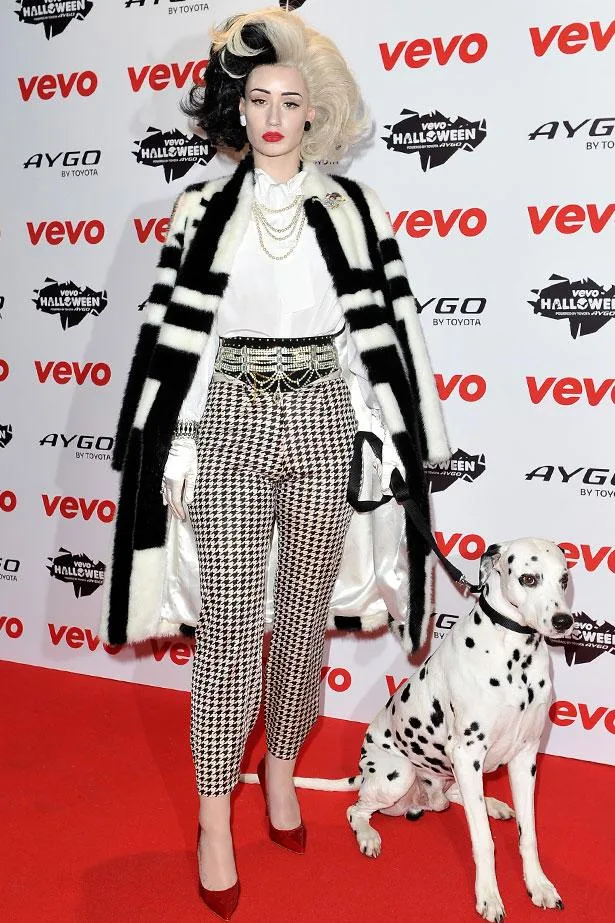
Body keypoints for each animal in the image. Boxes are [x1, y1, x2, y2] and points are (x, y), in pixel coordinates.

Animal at [348, 536, 576, 923]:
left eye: (564, 579)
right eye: (529, 578)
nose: (564, 621)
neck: (515, 653)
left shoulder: (525, 756)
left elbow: (528, 833)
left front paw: (538, 884)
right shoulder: (468, 754)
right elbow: (483, 840)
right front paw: (489, 895)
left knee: (456, 796)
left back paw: (493, 805)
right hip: (398, 774)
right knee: (356, 809)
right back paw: (367, 836)